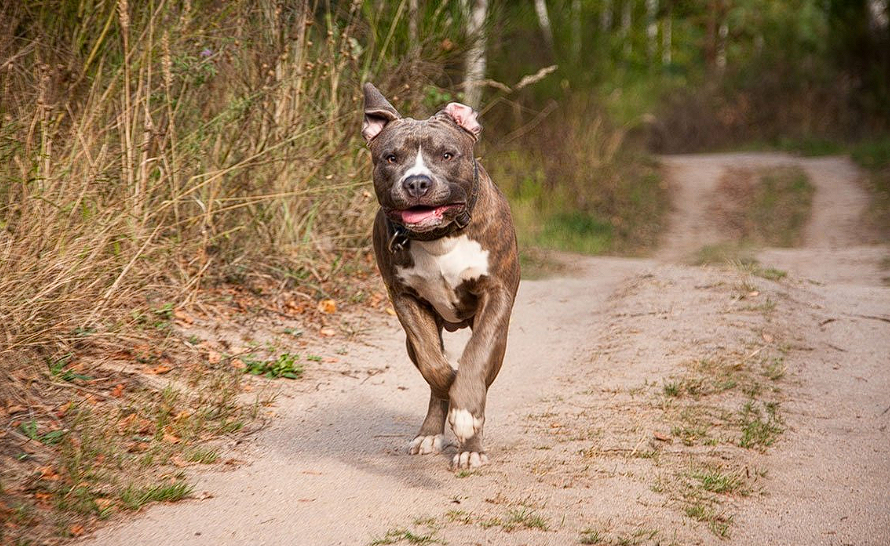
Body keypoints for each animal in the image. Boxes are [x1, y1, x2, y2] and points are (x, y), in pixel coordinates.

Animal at [360, 84, 516, 468]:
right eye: (391, 158)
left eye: (447, 154)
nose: (417, 182)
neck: (439, 237)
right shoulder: (405, 299)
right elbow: (434, 365)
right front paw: (451, 394)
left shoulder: (496, 295)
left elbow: (476, 356)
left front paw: (467, 413)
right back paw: (432, 430)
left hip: (501, 339)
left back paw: (470, 445)